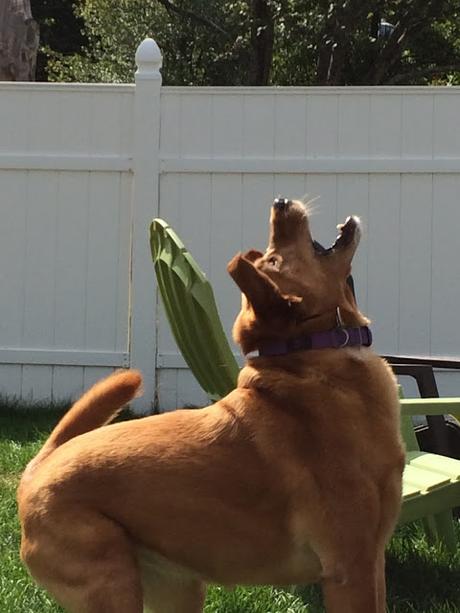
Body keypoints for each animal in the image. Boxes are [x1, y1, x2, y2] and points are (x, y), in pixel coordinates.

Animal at [18, 198, 404, 608]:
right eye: (273, 260)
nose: (280, 203)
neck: (316, 356)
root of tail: (35, 473)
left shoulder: (373, 560)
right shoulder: (350, 566)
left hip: (177, 590)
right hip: (113, 587)